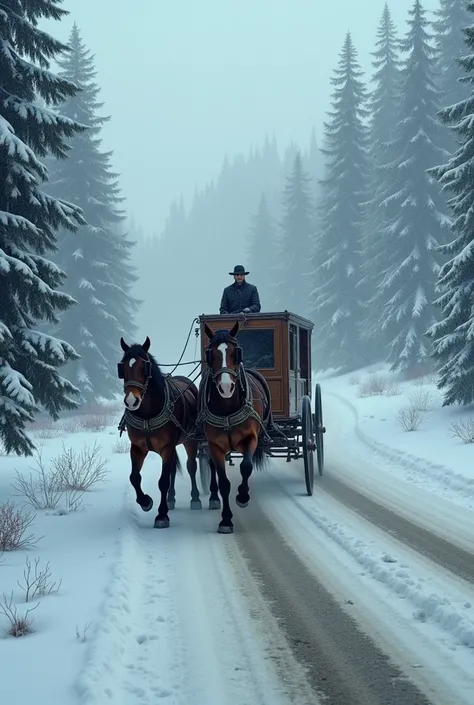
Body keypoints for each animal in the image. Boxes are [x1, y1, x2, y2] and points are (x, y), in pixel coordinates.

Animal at [118, 336, 202, 528]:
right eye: (122, 367)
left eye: (144, 367)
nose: (131, 401)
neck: (148, 415)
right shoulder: (137, 447)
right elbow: (134, 477)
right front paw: (145, 502)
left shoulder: (167, 447)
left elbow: (163, 481)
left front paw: (162, 515)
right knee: (172, 470)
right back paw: (171, 499)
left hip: (191, 439)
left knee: (191, 466)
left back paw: (196, 498)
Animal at [198, 322, 270, 532]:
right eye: (210, 353)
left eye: (235, 352)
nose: (226, 387)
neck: (227, 408)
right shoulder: (214, 445)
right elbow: (223, 482)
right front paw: (226, 520)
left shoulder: (251, 438)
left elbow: (246, 466)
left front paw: (243, 496)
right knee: (211, 467)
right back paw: (213, 498)